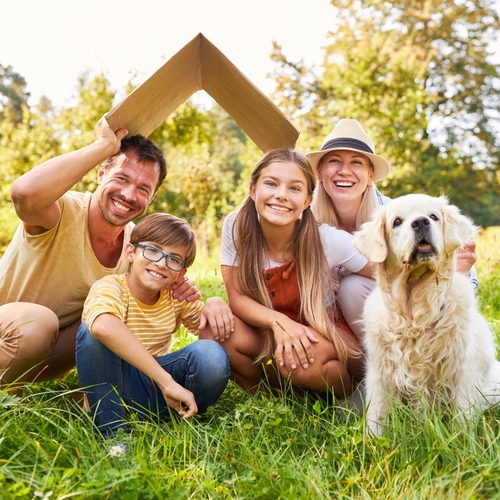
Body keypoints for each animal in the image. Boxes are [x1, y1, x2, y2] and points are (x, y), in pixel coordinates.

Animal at [352, 193, 500, 436]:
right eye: (397, 221)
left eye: (433, 216)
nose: (421, 222)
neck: (414, 311)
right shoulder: (380, 370)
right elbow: (376, 413)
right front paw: (372, 441)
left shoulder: (463, 368)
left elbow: (462, 414)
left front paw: (461, 439)